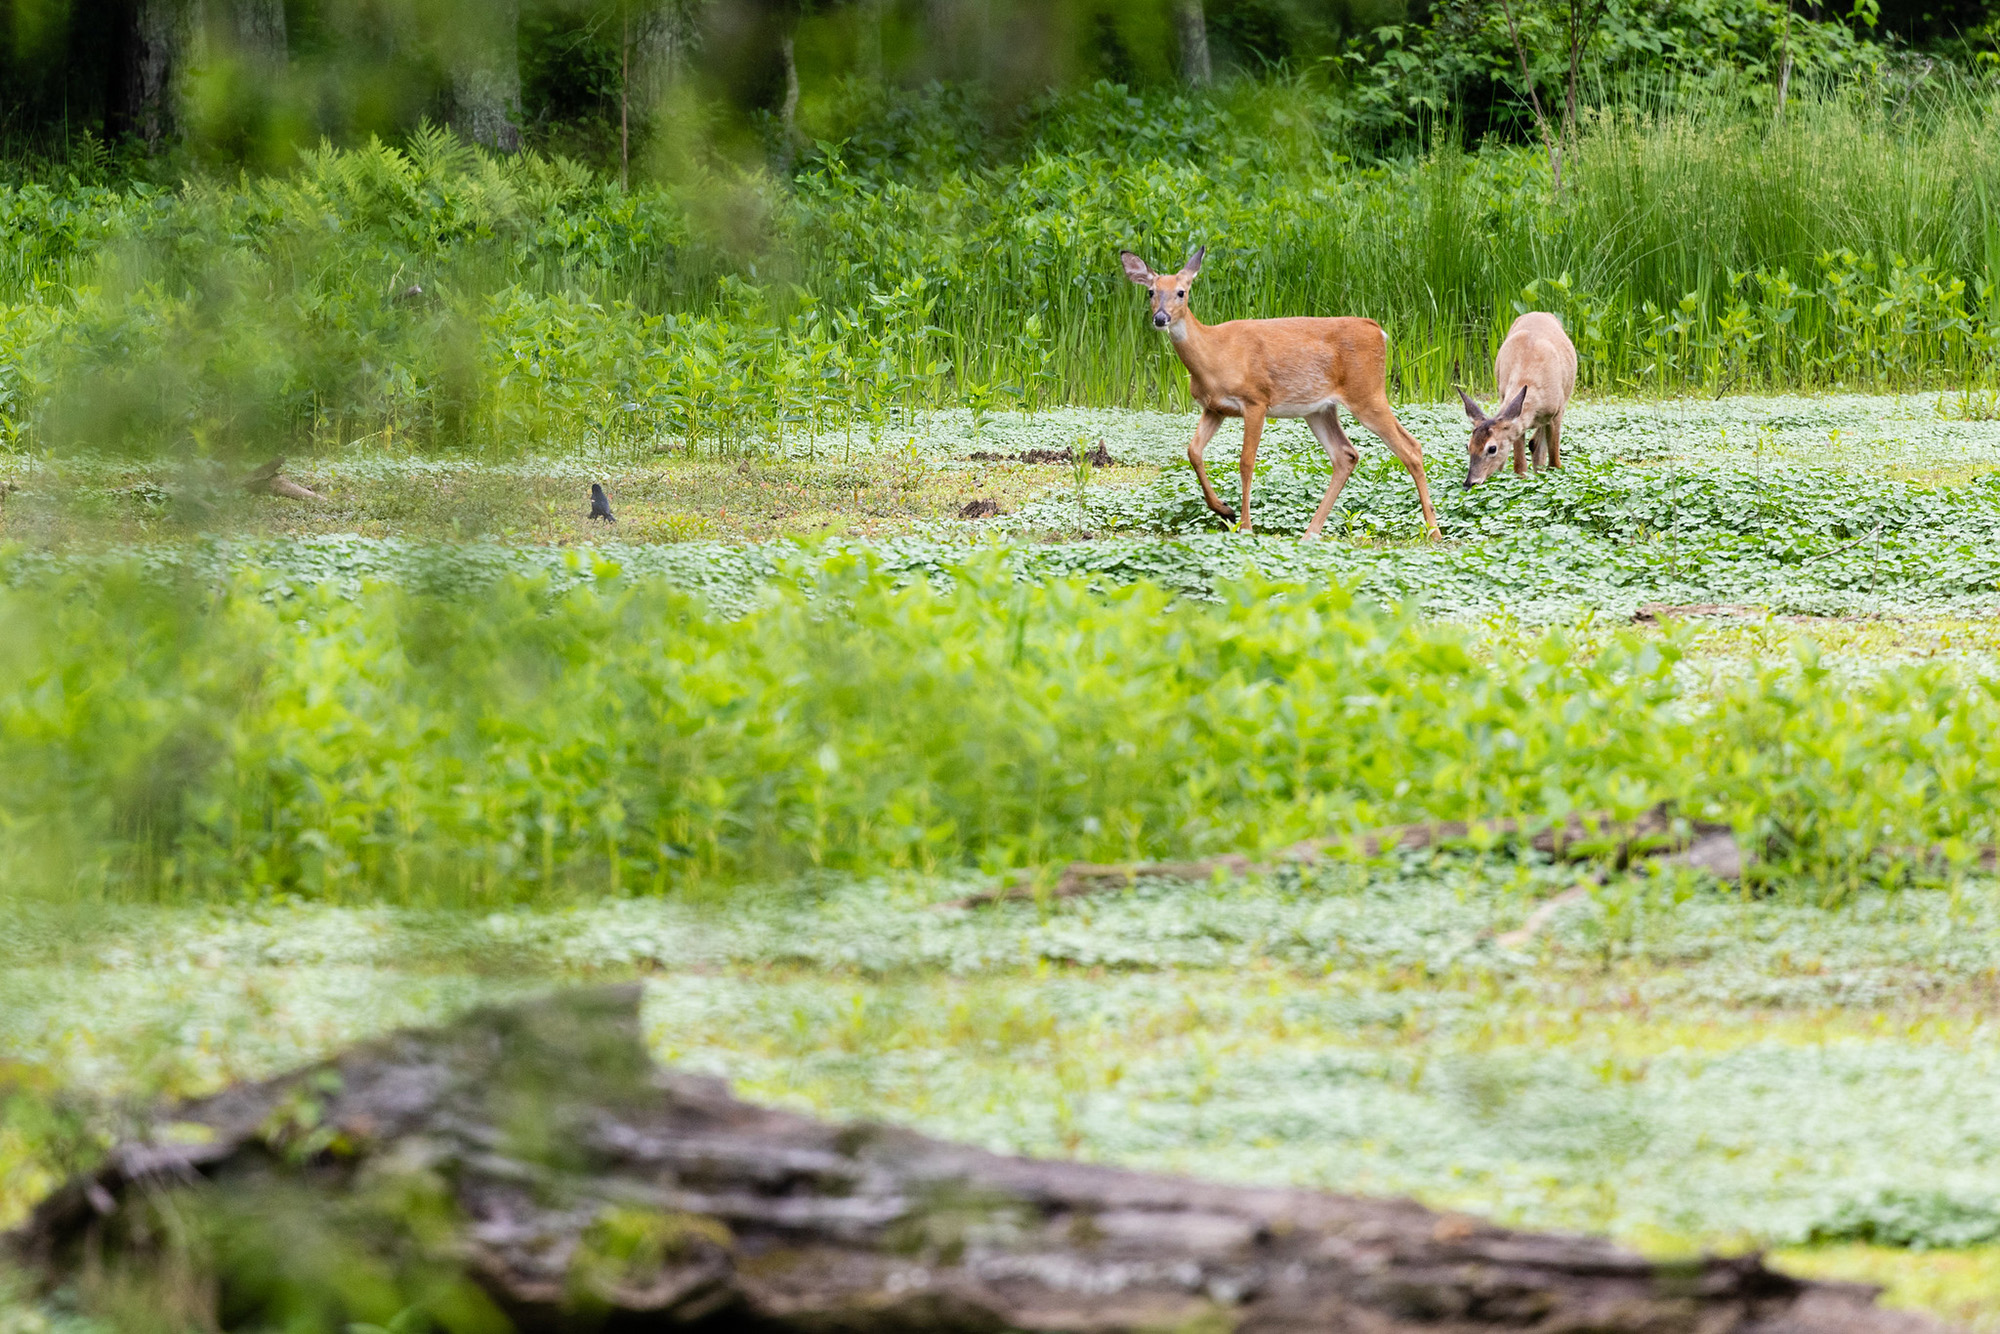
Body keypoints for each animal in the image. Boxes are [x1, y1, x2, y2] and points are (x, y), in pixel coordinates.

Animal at [1120, 246, 1441, 540]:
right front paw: (1224, 509)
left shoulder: (1255, 400)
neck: (1214, 356)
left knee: (1411, 447)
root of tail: (1378, 330)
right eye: (1150, 292)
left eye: (1181, 292)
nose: (1160, 318)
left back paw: (1433, 531)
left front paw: (1246, 527)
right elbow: (1193, 451)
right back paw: (1311, 532)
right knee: (1346, 454)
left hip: (1367, 393)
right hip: (1320, 409)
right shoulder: (1214, 408)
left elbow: (1246, 462)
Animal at [1460, 311, 1577, 488]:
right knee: (1535, 445)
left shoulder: (1557, 412)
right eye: (1468, 446)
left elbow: (1555, 463)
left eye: (1492, 448)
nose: (1470, 482)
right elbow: (1520, 466)